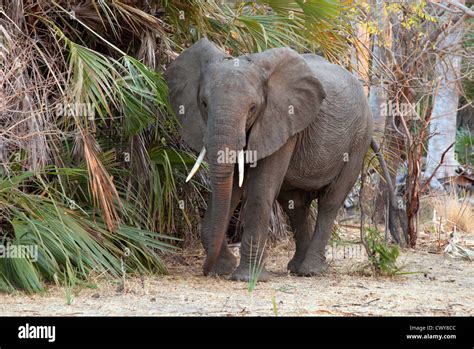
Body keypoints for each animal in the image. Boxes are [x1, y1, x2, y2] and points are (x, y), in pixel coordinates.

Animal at [163, 38, 404, 282]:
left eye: (253, 108)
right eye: (203, 103)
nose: (206, 270)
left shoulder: (283, 121)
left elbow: (260, 192)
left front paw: (246, 278)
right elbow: (231, 189)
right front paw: (224, 268)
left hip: (358, 139)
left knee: (330, 201)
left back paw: (311, 270)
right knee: (295, 205)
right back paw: (296, 268)